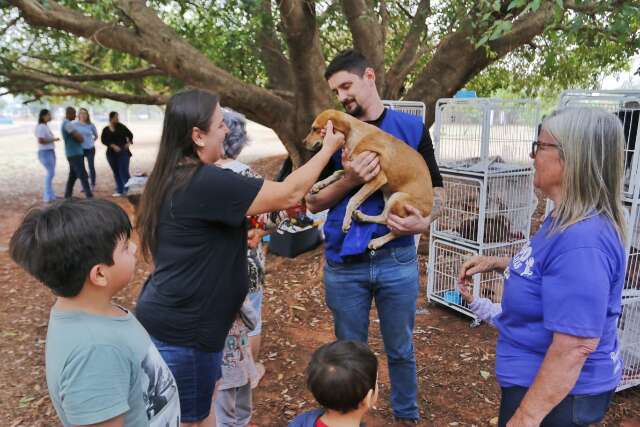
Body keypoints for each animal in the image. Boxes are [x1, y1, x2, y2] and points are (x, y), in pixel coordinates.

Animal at [304, 109, 436, 251]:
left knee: (397, 231)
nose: (303, 142)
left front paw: (346, 221)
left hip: (398, 197)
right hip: (388, 195)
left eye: (315, 129)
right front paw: (318, 184)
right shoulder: (355, 169)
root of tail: (428, 212)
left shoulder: (377, 177)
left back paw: (377, 241)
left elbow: (353, 199)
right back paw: (362, 217)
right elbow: (337, 172)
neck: (357, 135)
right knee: (384, 217)